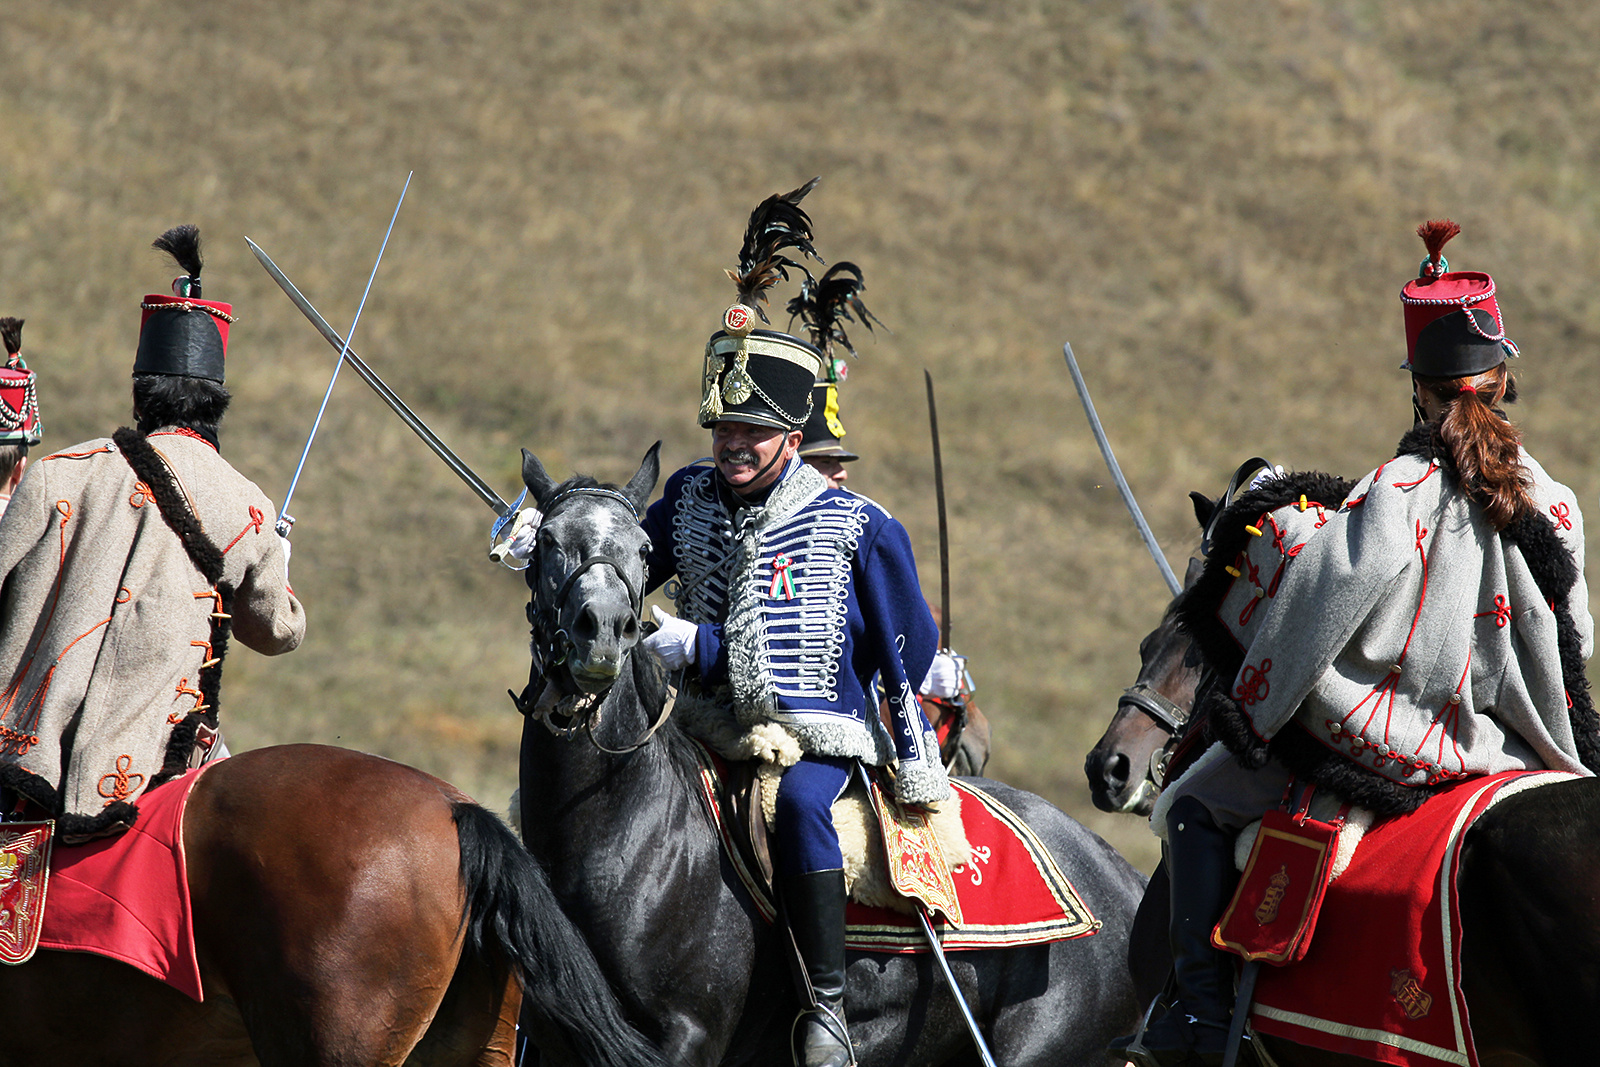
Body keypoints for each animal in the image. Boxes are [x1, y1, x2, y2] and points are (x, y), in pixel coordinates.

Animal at [512, 447, 1152, 1067]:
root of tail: (1121, 875)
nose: (603, 633)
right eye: (546, 540)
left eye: (643, 548)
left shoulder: (686, 1037)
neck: (625, 837)